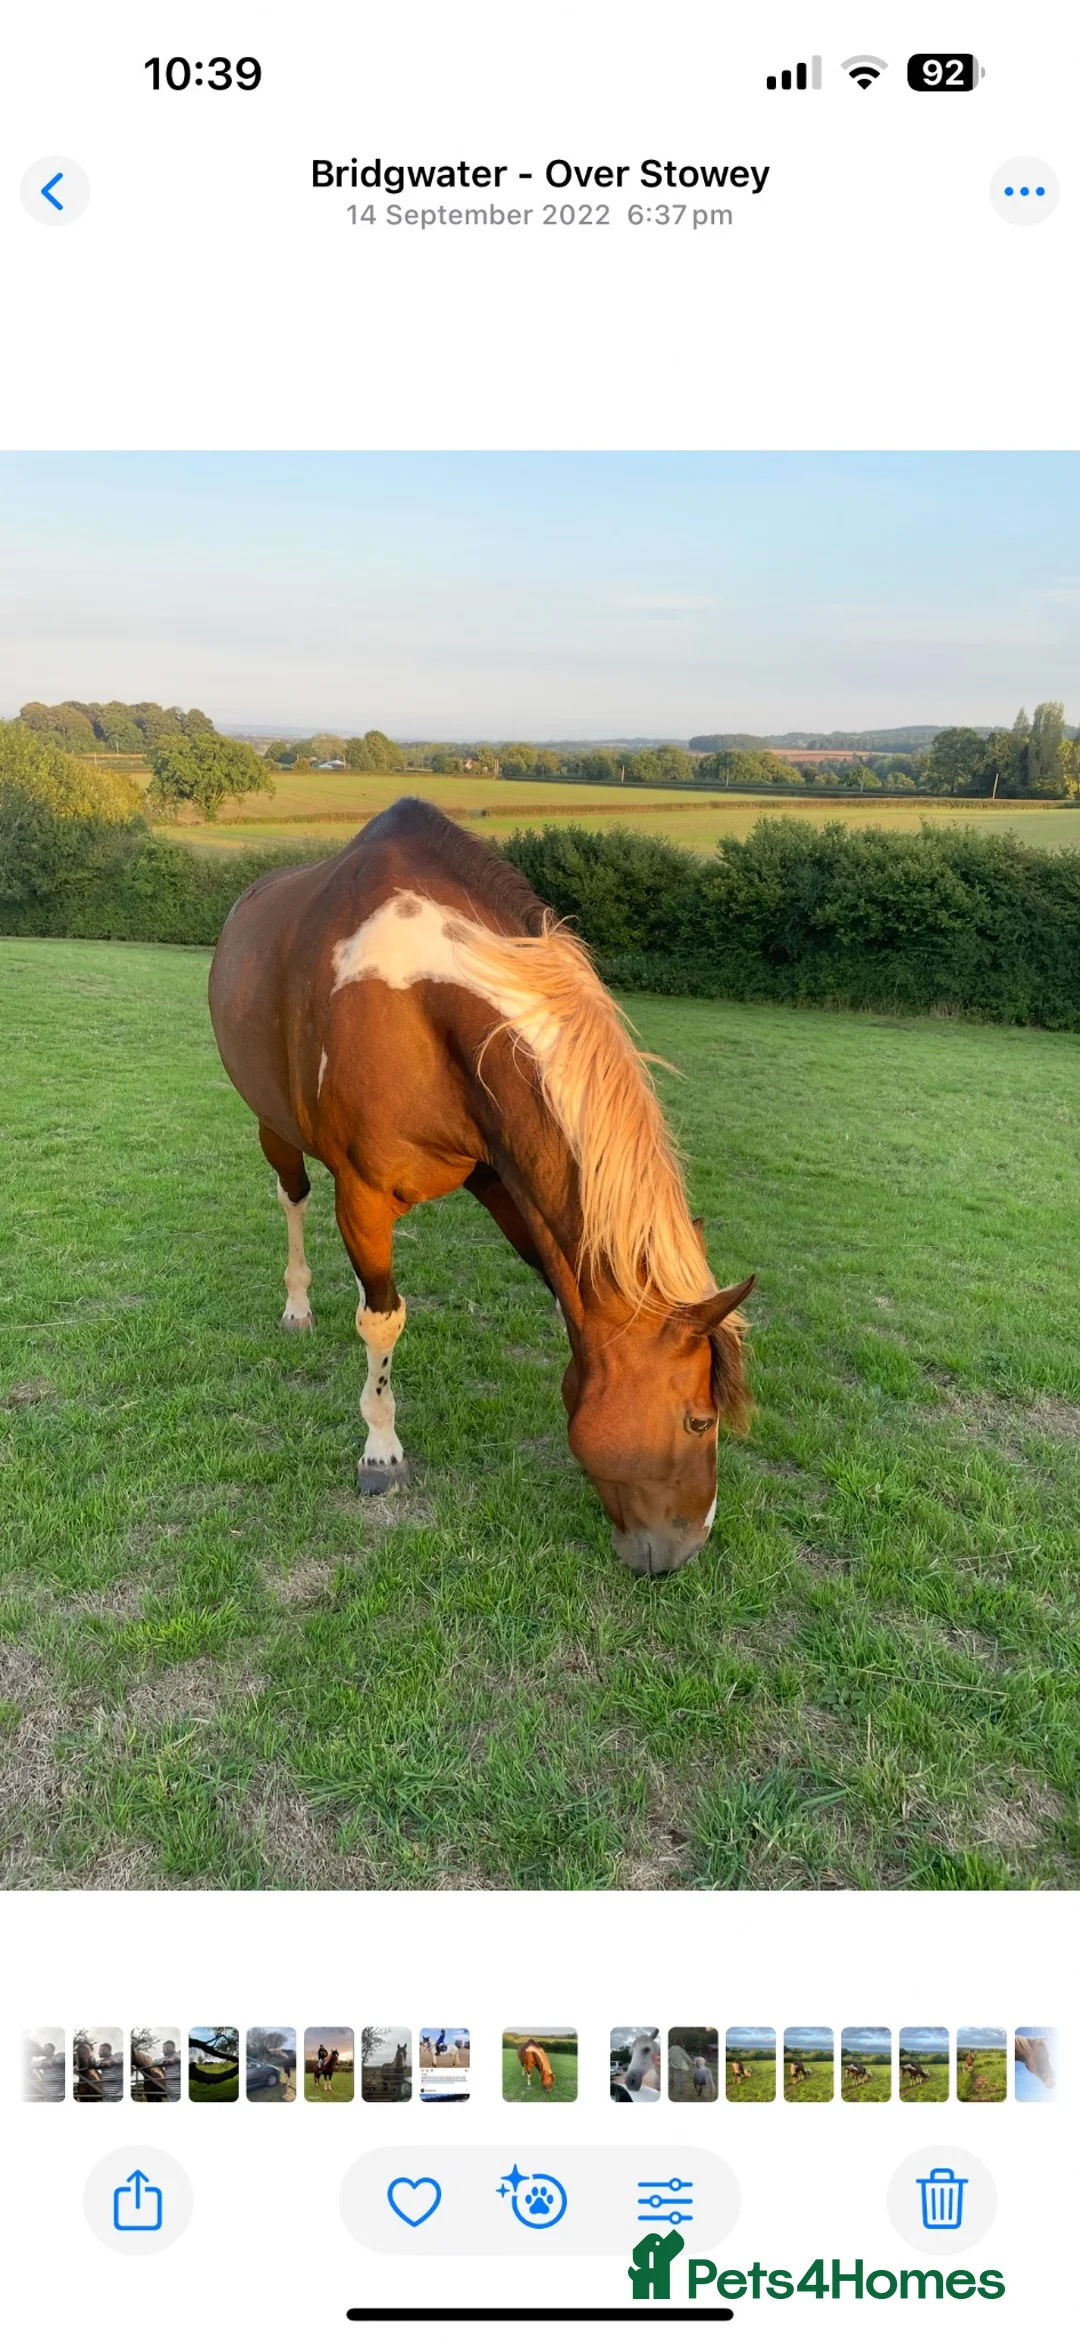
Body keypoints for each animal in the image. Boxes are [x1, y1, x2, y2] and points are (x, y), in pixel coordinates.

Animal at [209, 800, 754, 1577]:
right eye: (699, 1419)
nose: (685, 1548)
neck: (418, 998)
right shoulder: (363, 1197)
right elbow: (381, 1322)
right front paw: (381, 1451)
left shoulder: (504, 1179)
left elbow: (558, 1288)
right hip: (272, 1124)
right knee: (292, 1197)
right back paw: (297, 1304)